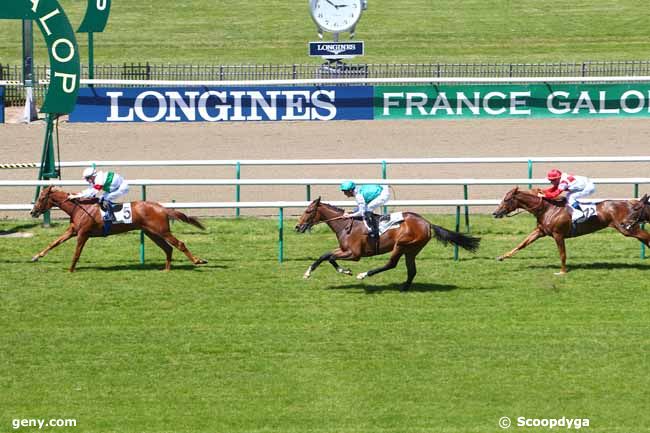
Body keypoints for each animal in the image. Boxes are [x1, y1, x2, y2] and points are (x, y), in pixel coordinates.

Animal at [29, 185, 208, 272]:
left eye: (42, 197)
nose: (33, 212)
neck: (79, 208)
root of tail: (162, 208)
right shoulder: (72, 231)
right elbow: (54, 243)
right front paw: (36, 256)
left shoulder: (83, 233)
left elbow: (77, 252)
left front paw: (71, 270)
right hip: (152, 233)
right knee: (168, 248)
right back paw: (166, 269)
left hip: (162, 231)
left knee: (179, 244)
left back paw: (198, 260)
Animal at [296, 197, 478, 292]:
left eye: (308, 211)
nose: (298, 227)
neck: (346, 224)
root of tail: (427, 223)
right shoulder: (344, 249)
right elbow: (325, 255)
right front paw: (309, 273)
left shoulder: (354, 254)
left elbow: (330, 257)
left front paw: (346, 271)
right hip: (412, 249)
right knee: (411, 270)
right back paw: (404, 288)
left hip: (401, 244)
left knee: (391, 264)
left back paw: (364, 274)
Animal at [492, 186, 648, 274]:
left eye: (506, 200)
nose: (495, 213)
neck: (547, 209)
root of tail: (632, 203)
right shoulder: (540, 231)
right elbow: (522, 244)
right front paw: (501, 257)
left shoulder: (558, 234)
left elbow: (562, 254)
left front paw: (562, 271)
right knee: (646, 237)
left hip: (628, 229)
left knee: (647, 236)